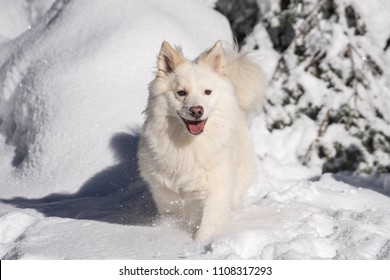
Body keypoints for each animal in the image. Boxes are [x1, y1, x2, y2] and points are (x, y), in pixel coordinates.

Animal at [138, 41, 268, 241]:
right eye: (181, 93)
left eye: (207, 92)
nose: (196, 110)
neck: (190, 145)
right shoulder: (166, 195)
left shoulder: (216, 191)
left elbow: (207, 227)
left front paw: (200, 243)